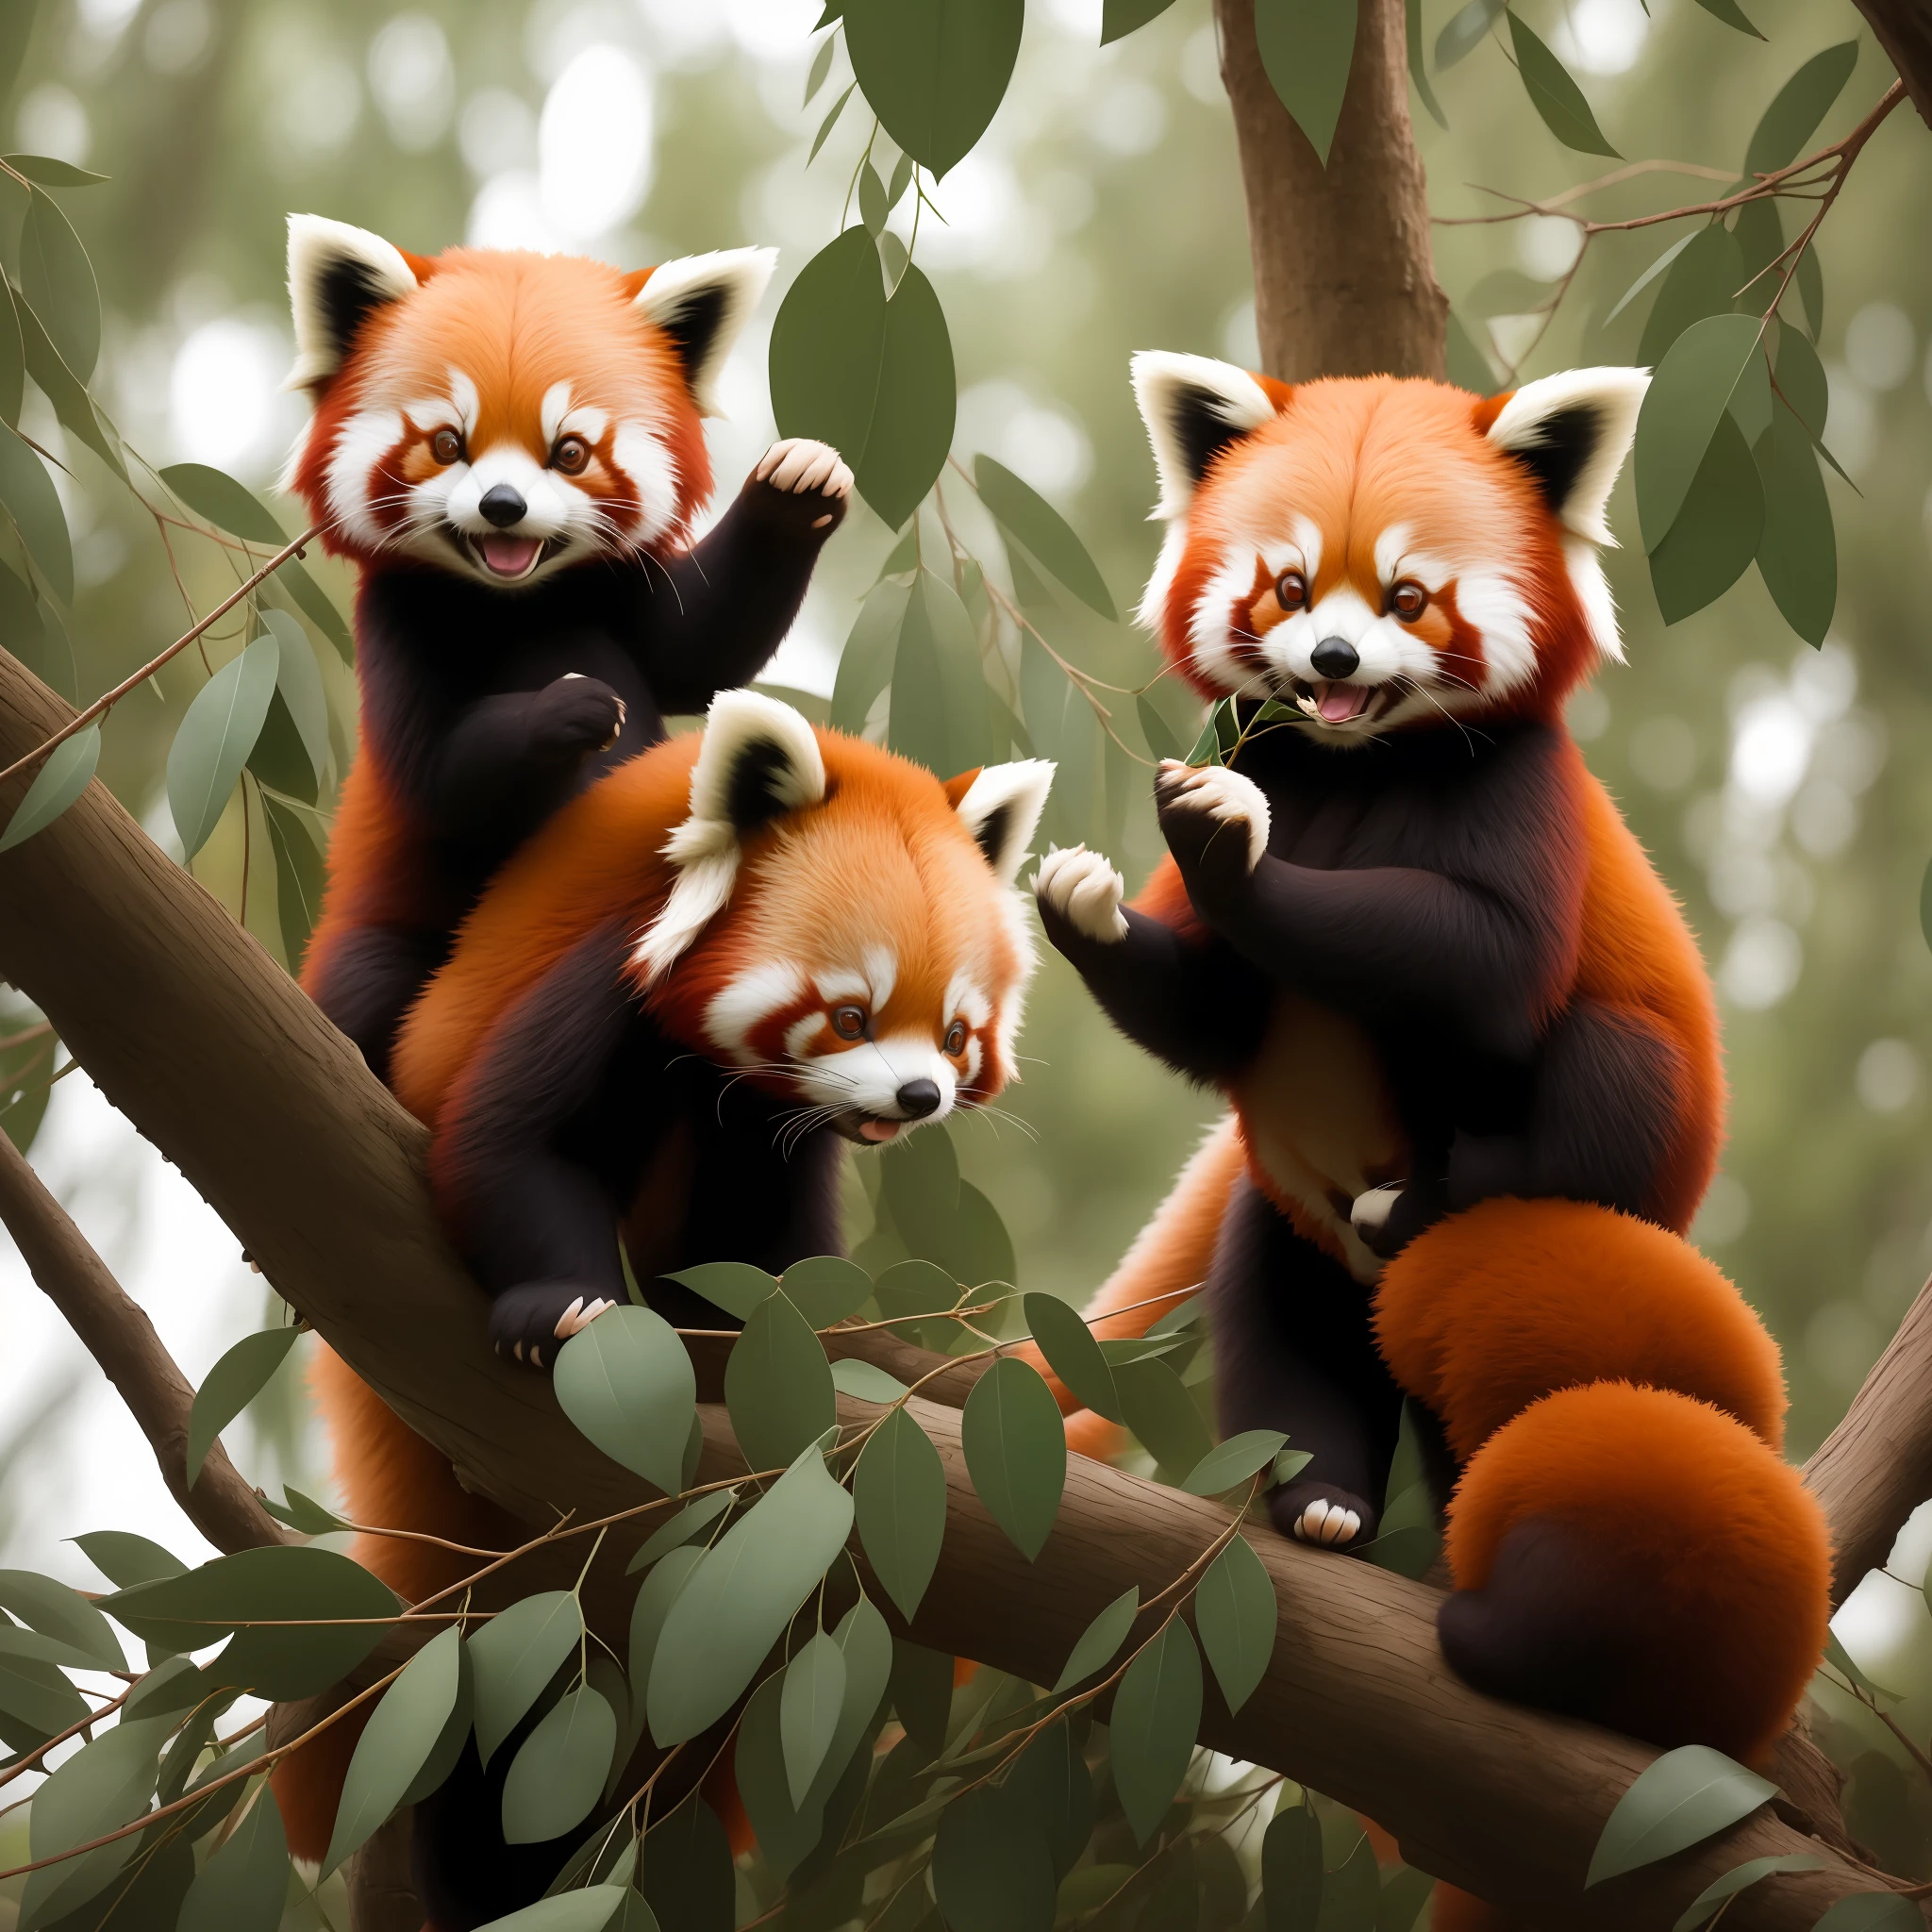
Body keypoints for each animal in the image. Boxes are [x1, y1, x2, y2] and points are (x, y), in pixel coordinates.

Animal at [270, 695, 1051, 1932]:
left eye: (955, 1030)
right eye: (849, 1014)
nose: (917, 1095)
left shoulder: (771, 1133)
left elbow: (760, 1263)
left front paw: (768, 1352)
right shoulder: (615, 985)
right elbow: (506, 1142)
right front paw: (559, 1311)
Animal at [279, 222, 854, 1090]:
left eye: (571, 451)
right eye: (447, 444)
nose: (502, 507)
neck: (518, 598)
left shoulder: (614, 589)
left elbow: (702, 653)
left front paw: (796, 487)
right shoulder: (395, 621)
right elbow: (438, 775)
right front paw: (568, 707)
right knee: (373, 983)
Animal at [1027, 363, 1824, 1870]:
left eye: (1405, 598)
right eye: (1288, 589)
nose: (1335, 663)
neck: (1353, 771)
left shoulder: (1516, 806)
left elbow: (1481, 967)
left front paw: (1229, 847)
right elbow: (1206, 1018)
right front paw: (1086, 897)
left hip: (1631, 1135)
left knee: (1594, 1075)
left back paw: (1442, 1195)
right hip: (1289, 1226)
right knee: (1285, 1334)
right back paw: (1323, 1498)